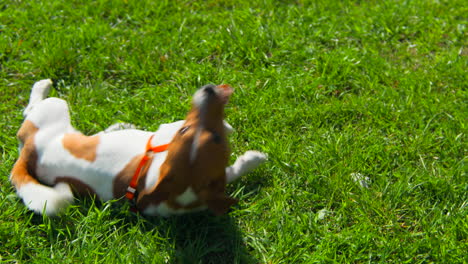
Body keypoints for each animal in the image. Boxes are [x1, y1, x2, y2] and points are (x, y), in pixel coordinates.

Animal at [10, 79, 266, 216]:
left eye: (215, 139)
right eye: (183, 131)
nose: (209, 90)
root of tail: (27, 154)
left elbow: (231, 172)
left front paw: (251, 159)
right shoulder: (166, 129)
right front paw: (234, 132)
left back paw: (117, 126)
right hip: (55, 105)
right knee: (29, 109)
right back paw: (42, 86)